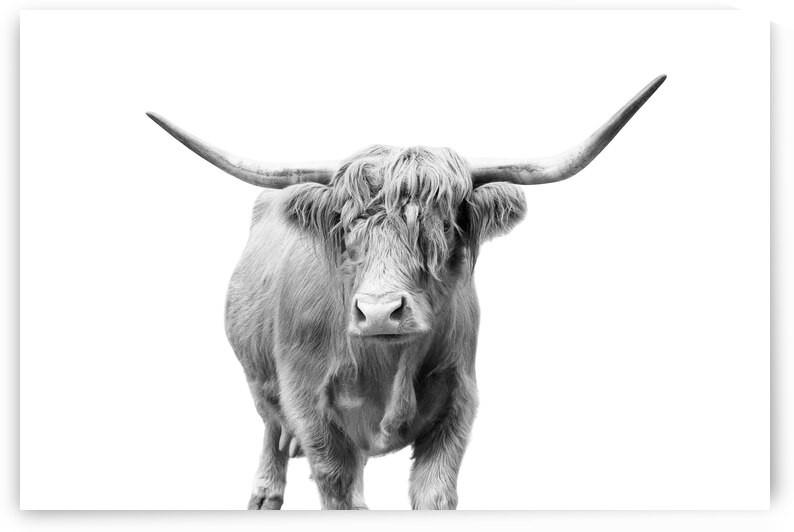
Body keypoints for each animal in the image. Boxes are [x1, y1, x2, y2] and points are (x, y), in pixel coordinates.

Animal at [147, 75, 666, 510]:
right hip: (260, 378)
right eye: (346, 226)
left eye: (442, 226)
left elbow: (433, 491)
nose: (379, 313)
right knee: (271, 425)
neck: (385, 367)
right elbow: (335, 482)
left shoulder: (458, 402)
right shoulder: (311, 407)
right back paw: (264, 495)